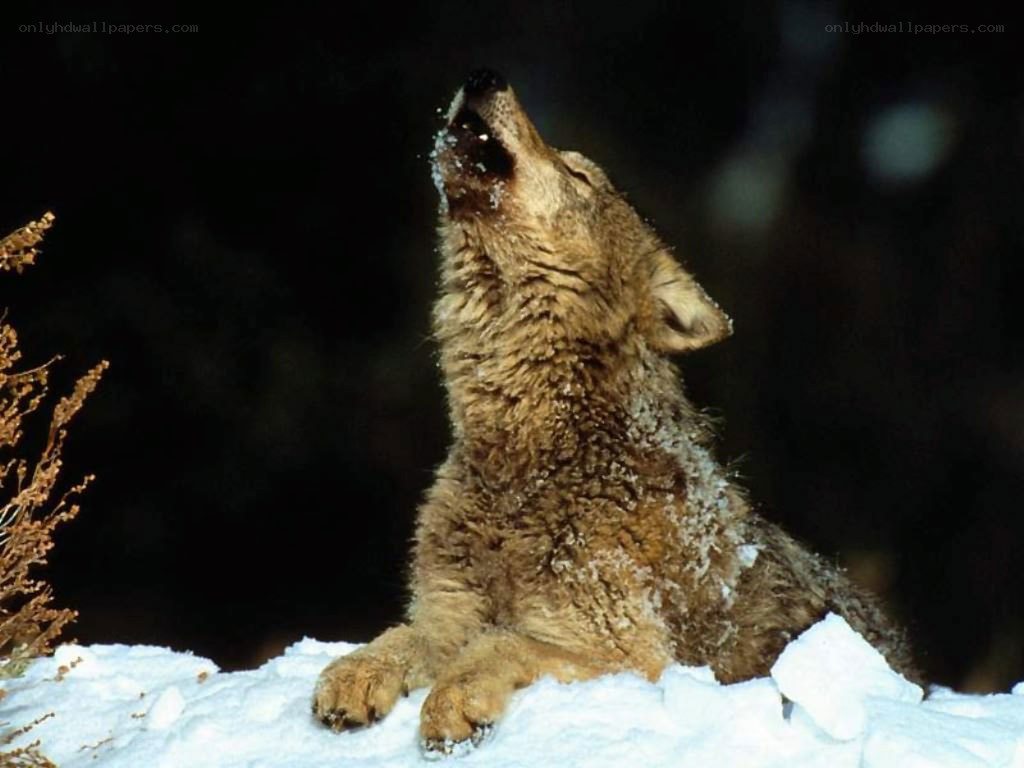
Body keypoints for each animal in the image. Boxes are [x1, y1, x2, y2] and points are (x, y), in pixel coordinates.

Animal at [313, 69, 918, 753]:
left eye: (578, 175)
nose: (484, 76)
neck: (528, 463)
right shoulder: (447, 613)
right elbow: (402, 635)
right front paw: (355, 674)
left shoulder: (630, 654)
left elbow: (501, 642)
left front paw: (452, 703)